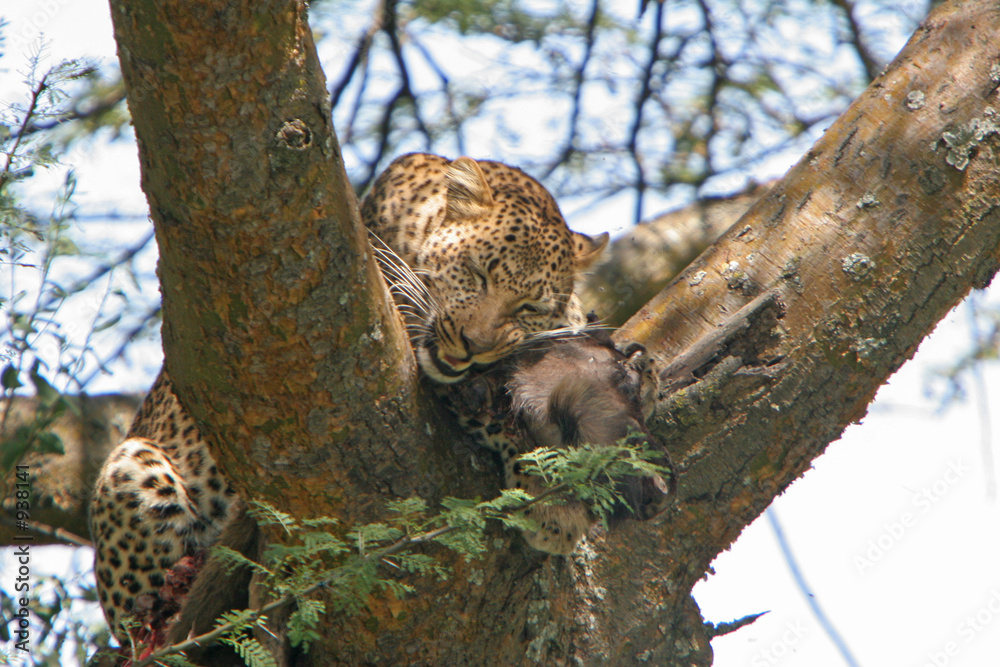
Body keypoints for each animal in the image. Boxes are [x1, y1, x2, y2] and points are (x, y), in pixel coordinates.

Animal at [88, 152, 610, 646]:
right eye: (478, 273)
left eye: (528, 306)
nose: (472, 344)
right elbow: (494, 409)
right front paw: (555, 502)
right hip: (131, 466)